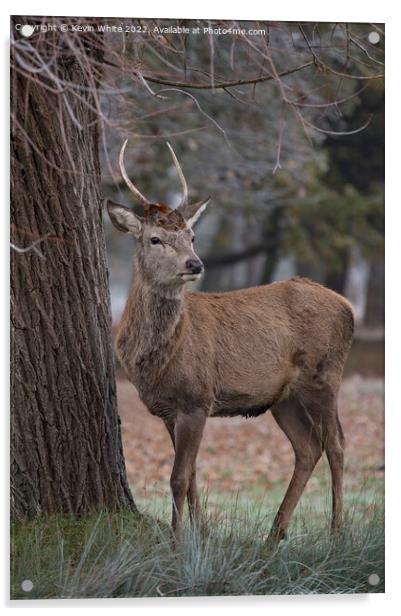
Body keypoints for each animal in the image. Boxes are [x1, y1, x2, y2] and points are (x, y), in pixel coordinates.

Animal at [106, 138, 354, 544]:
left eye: (191, 237)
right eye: (155, 239)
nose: (195, 264)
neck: (156, 359)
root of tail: (348, 307)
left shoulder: (197, 397)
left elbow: (178, 477)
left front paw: (178, 543)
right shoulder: (167, 409)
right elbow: (191, 475)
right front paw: (201, 535)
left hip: (326, 374)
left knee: (337, 444)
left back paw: (336, 533)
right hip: (282, 396)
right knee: (307, 447)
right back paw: (274, 535)